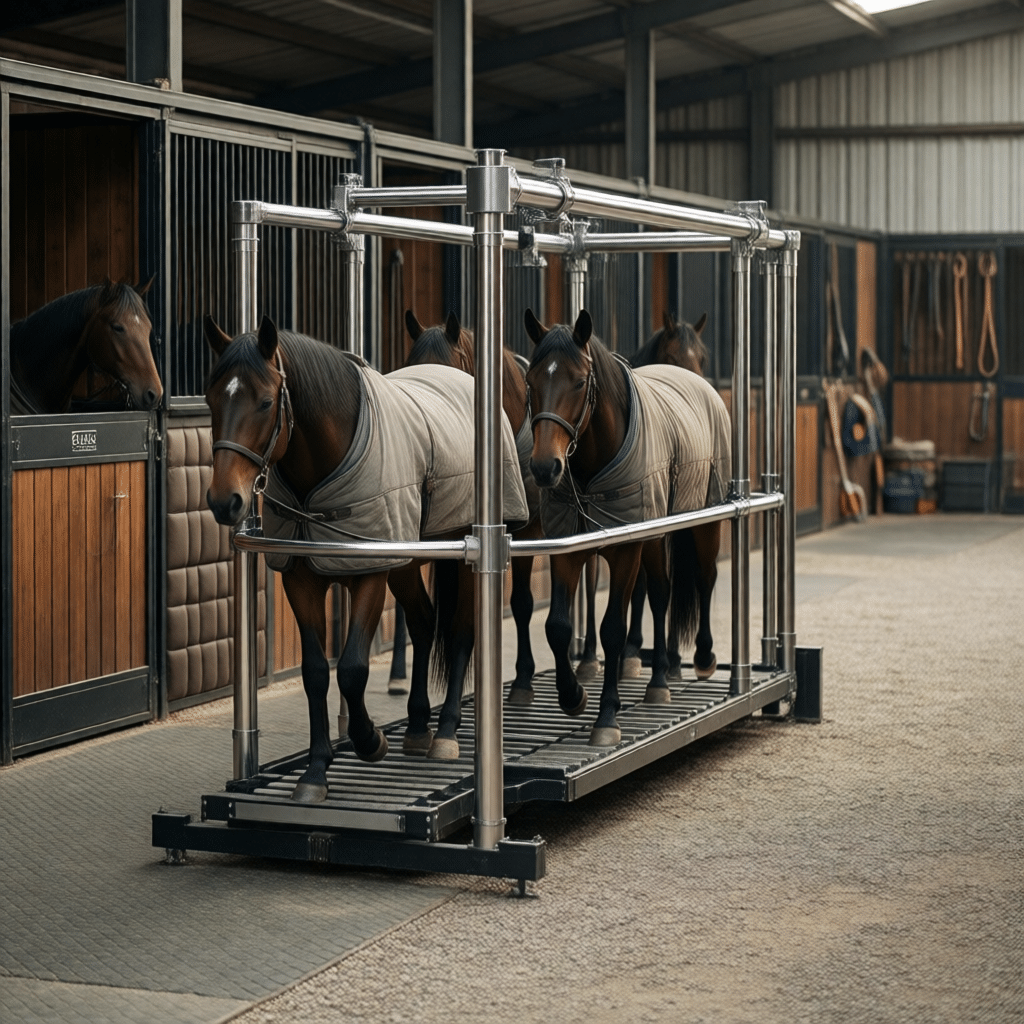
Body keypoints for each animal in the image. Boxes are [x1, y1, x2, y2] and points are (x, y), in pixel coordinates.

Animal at [202, 315, 528, 802]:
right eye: (210, 398)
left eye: (264, 401)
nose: (225, 501)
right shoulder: (302, 578)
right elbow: (317, 672)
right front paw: (316, 771)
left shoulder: (371, 572)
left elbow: (354, 669)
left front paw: (369, 739)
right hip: (407, 561)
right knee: (423, 621)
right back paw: (417, 726)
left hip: (459, 557)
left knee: (460, 632)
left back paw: (445, 732)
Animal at [524, 307, 730, 746]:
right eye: (531, 381)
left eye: (579, 381)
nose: (545, 467)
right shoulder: (567, 547)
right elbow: (558, 627)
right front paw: (573, 695)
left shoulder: (626, 550)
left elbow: (613, 630)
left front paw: (606, 717)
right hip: (655, 536)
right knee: (661, 592)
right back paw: (659, 678)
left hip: (703, 522)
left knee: (704, 578)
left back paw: (701, 657)